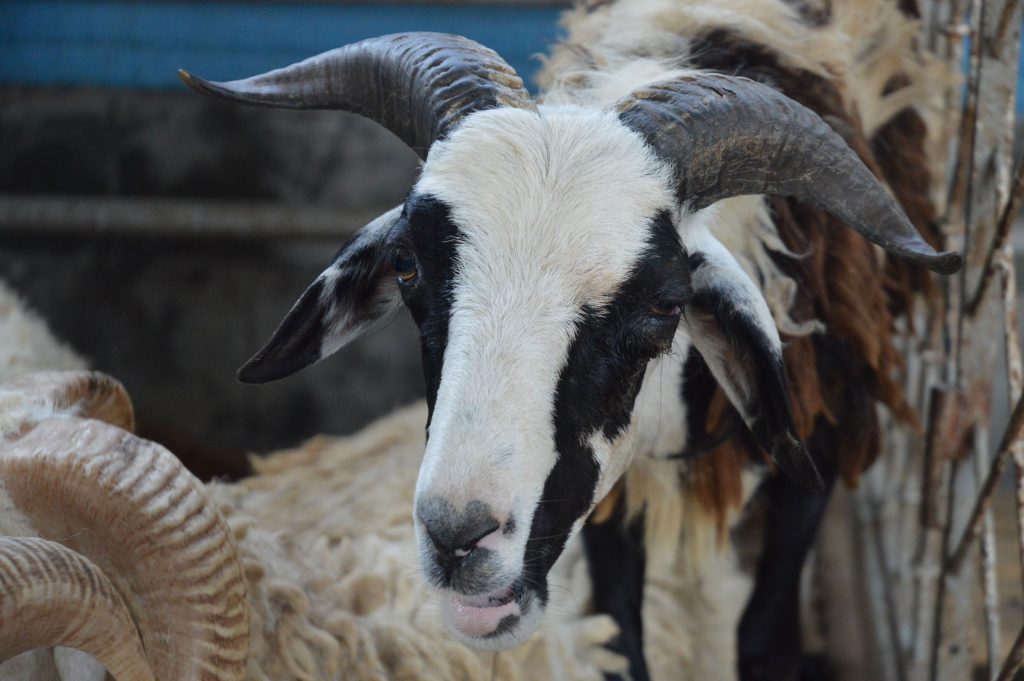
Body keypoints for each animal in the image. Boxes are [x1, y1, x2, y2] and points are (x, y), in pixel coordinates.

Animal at [167, 0, 958, 675]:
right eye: (408, 265)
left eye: (664, 305)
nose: (458, 537)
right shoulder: (609, 499)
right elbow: (621, 634)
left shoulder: (823, 438)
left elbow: (765, 639)